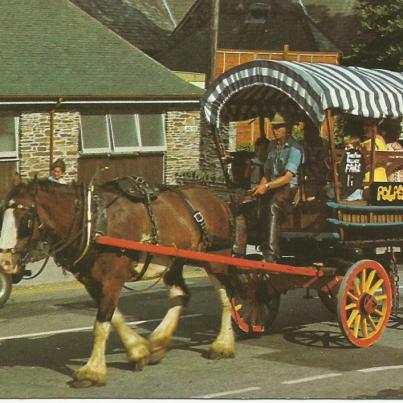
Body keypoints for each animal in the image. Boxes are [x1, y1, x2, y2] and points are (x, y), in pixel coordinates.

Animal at [0, 180, 237, 388]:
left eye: (26, 219)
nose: (5, 262)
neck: (91, 223)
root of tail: (218, 200)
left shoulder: (112, 278)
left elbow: (101, 325)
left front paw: (92, 372)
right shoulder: (92, 281)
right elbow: (114, 318)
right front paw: (139, 351)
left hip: (216, 258)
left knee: (226, 297)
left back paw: (222, 344)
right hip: (174, 262)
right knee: (181, 294)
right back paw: (158, 342)